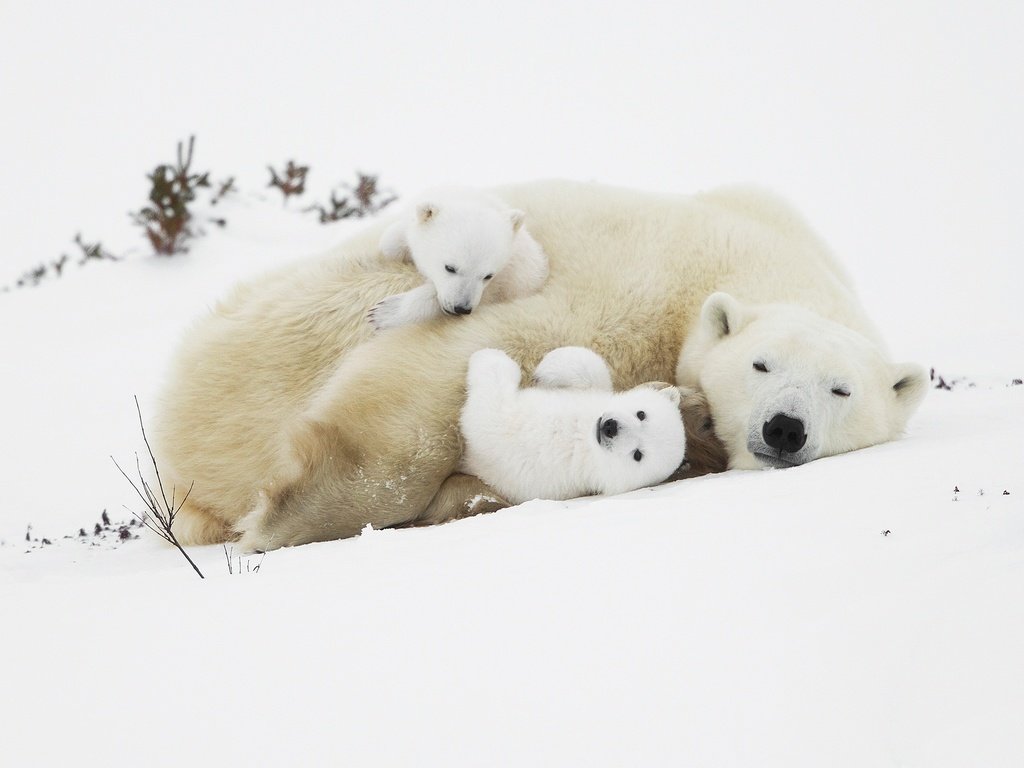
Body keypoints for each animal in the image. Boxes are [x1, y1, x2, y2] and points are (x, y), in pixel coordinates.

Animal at [366, 189, 548, 331]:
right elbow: (391, 242)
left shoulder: (512, 278)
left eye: (488, 276)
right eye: (450, 268)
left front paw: (384, 312)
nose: (461, 308)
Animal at [462, 348, 688, 505]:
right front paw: (547, 368)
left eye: (638, 454)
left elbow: (488, 417)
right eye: (642, 414)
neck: (583, 433)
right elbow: (592, 370)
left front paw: (487, 357)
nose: (610, 427)